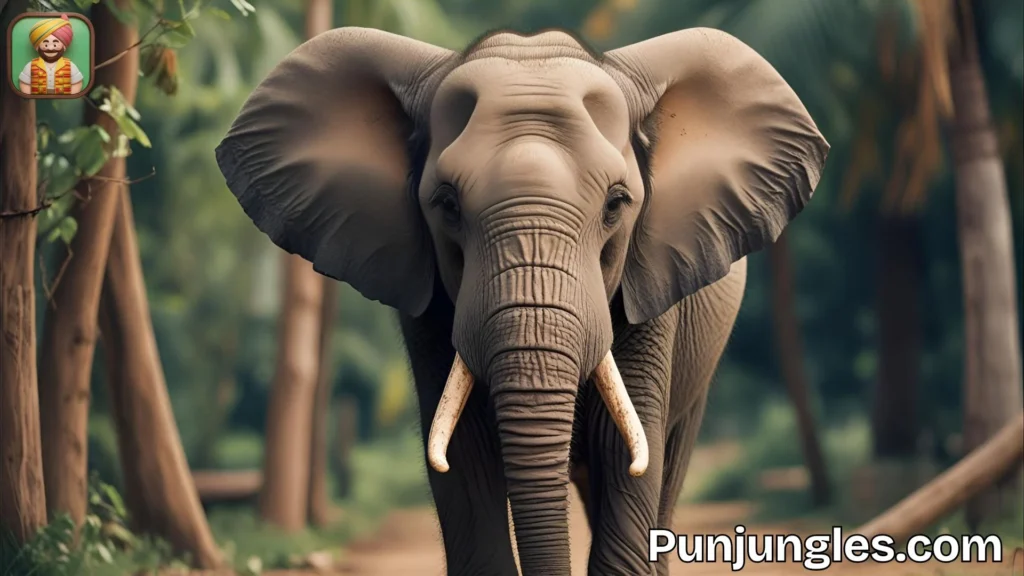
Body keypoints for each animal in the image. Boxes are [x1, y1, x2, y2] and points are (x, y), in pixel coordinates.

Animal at [215, 25, 827, 576]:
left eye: (617, 203)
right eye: (446, 204)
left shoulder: (652, 289)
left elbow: (622, 455)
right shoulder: (429, 307)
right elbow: (464, 457)